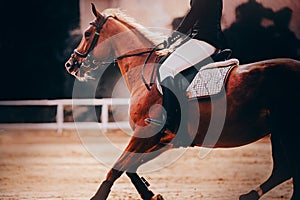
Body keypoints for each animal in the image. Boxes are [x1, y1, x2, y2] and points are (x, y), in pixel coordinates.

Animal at [65, 3, 300, 199]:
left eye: (87, 33)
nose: (70, 64)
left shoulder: (145, 132)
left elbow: (116, 168)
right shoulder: (163, 140)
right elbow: (129, 168)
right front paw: (151, 195)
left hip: (287, 131)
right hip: (278, 132)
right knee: (283, 170)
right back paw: (248, 195)